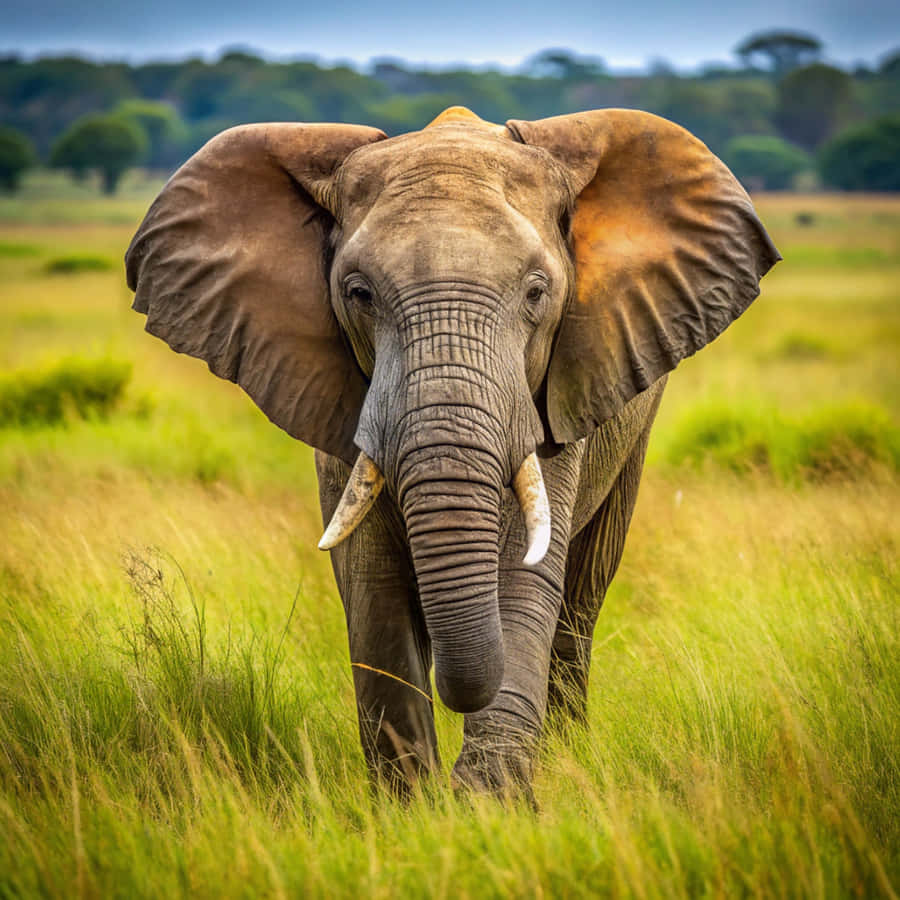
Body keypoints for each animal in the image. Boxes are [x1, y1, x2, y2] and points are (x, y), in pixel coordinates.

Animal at [126, 106, 779, 796]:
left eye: (537, 292)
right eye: (357, 293)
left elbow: (525, 568)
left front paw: (489, 801)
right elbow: (373, 585)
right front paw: (411, 805)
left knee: (583, 594)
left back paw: (568, 753)